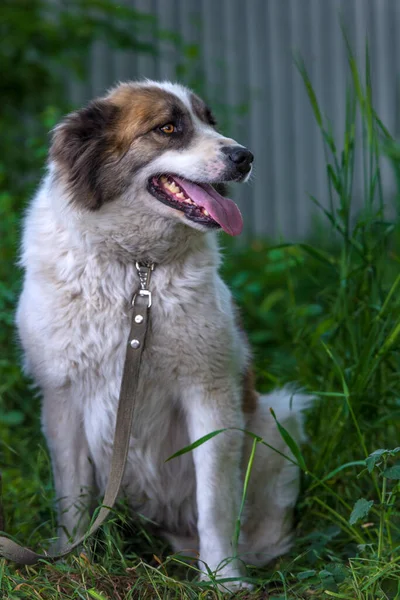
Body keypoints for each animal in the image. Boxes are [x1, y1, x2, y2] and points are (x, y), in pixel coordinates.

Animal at [16, 81, 310, 592]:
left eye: (210, 121)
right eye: (168, 128)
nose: (245, 157)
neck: (138, 269)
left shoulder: (209, 393)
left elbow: (215, 501)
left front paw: (224, 579)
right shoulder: (62, 398)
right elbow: (72, 496)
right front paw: (73, 564)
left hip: (279, 418)